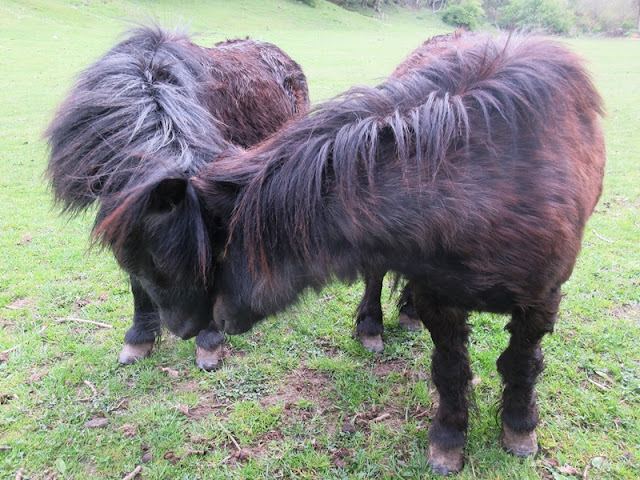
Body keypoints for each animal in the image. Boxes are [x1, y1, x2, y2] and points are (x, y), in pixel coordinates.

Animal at [44, 25, 310, 372]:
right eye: (157, 259)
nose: (188, 330)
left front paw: (209, 344)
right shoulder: (123, 216)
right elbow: (137, 281)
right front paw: (139, 339)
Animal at [94, 31, 604, 474]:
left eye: (199, 257)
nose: (181, 328)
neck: (483, 186)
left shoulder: (541, 299)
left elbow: (520, 364)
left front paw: (519, 429)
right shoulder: (441, 299)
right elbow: (451, 370)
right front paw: (447, 441)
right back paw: (374, 325)